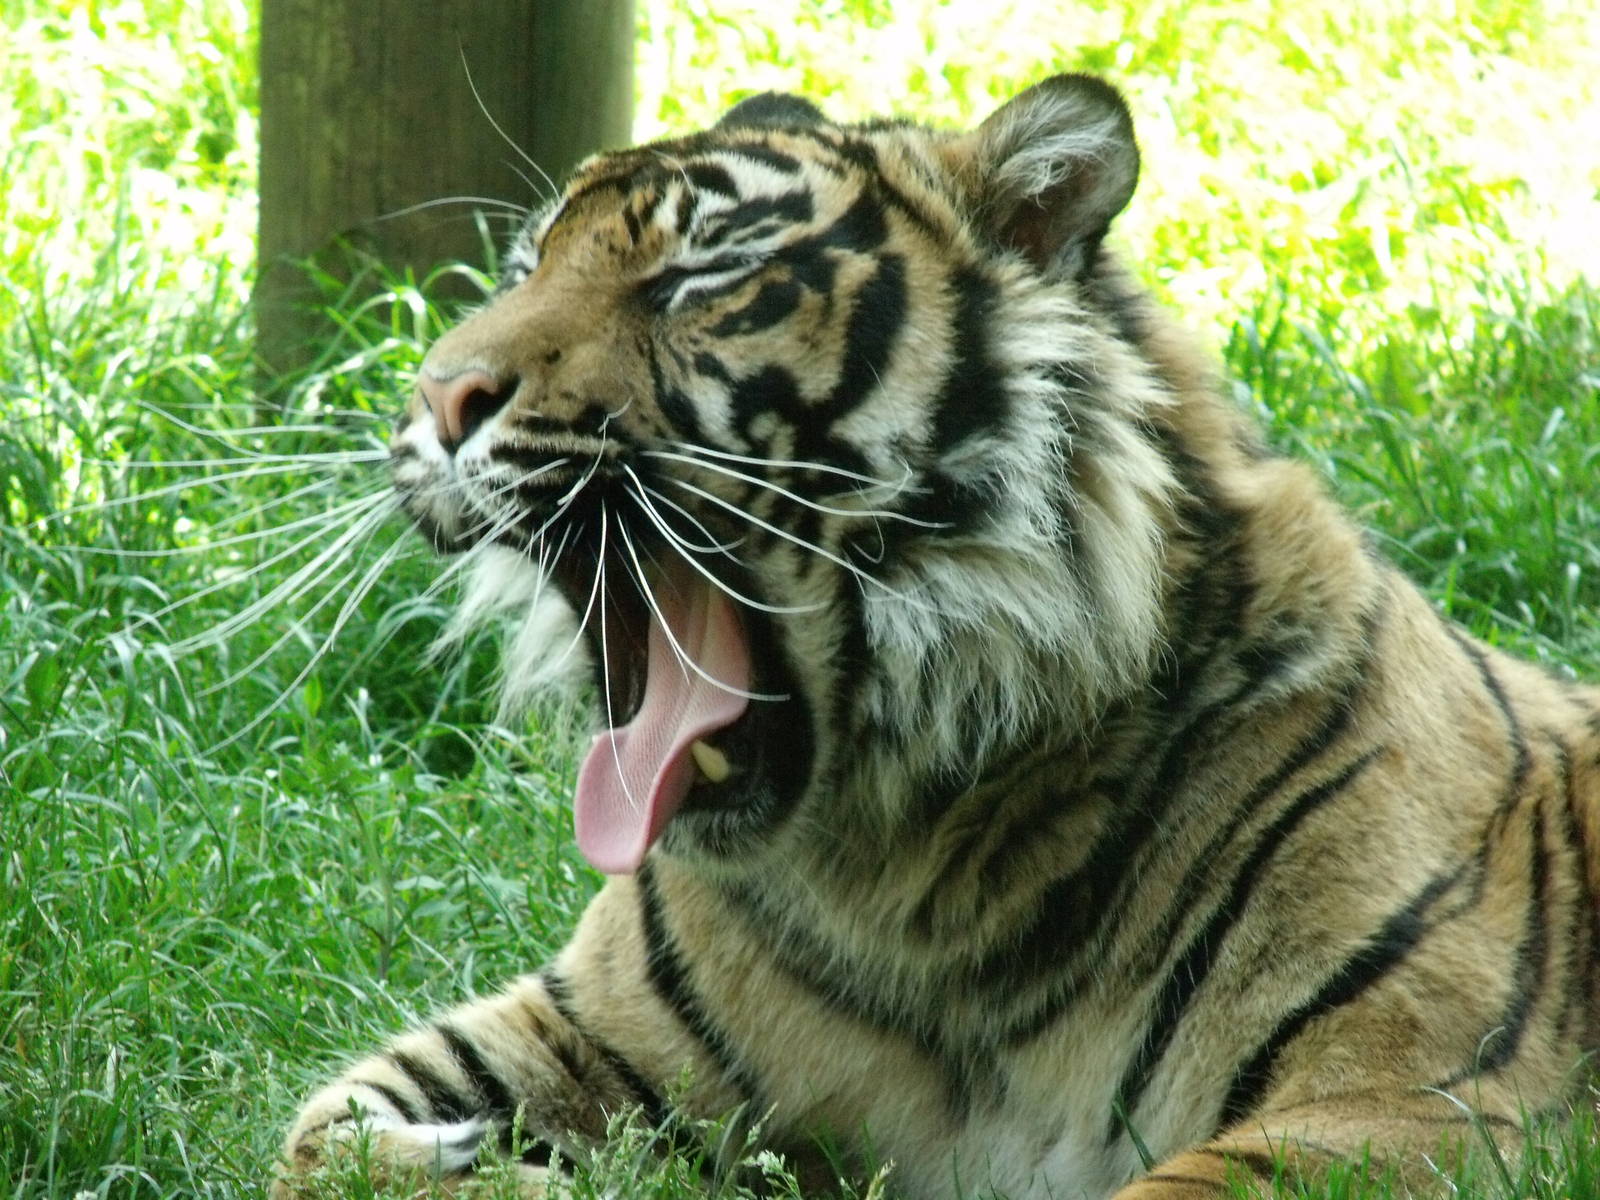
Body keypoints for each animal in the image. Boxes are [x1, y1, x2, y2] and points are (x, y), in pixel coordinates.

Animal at [271, 74, 1600, 1199]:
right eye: (521, 264)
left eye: (699, 278)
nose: (436, 398)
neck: (911, 882)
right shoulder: (583, 1024)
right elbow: (321, 1143)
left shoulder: (1412, 1099)